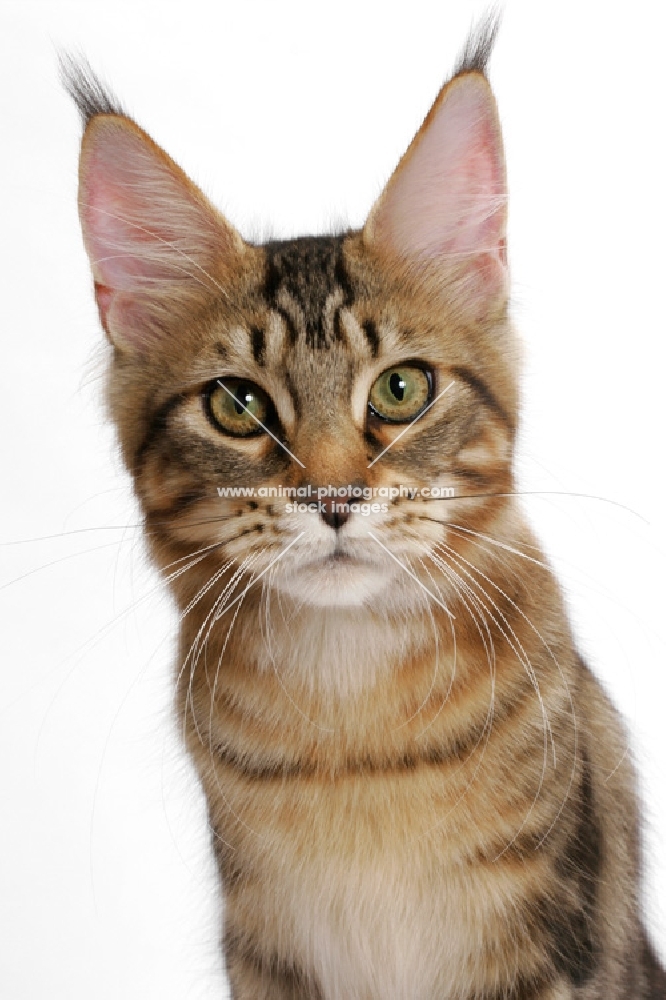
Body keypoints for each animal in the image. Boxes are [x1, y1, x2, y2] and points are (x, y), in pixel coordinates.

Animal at [63, 15, 664, 1000]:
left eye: (401, 389)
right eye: (238, 406)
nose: (334, 496)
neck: (353, 727)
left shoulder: (542, 937)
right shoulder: (268, 947)